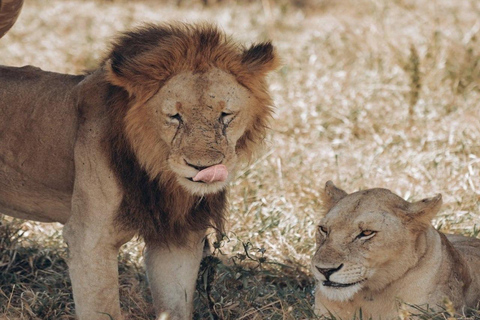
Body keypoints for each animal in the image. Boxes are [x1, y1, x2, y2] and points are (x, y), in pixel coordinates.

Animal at [0, 3, 280, 320]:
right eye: (174, 116)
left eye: (225, 115)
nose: (203, 167)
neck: (158, 173)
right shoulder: (89, 239)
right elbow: (103, 308)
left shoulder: (178, 239)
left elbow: (176, 308)